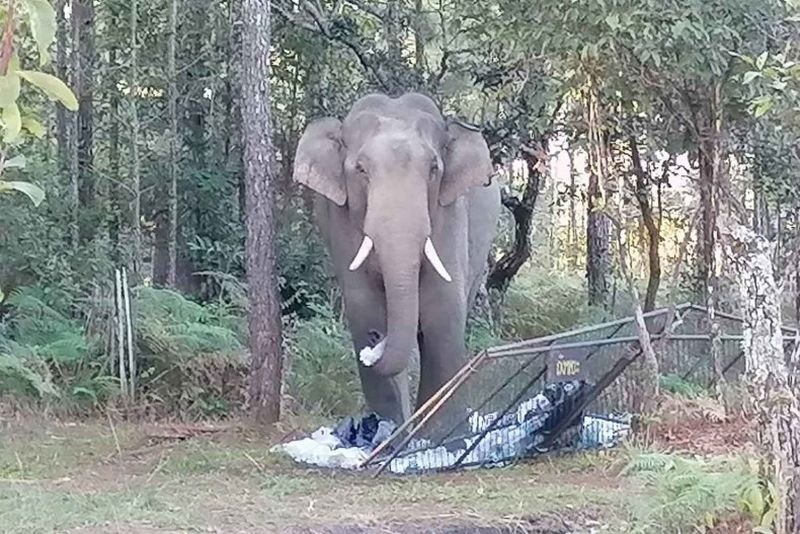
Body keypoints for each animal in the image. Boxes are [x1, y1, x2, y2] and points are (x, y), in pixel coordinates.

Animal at [292, 92, 501, 425]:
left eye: (433, 168)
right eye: (360, 170)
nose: (377, 338)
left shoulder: (450, 216)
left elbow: (443, 317)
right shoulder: (341, 224)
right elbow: (364, 308)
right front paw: (390, 428)